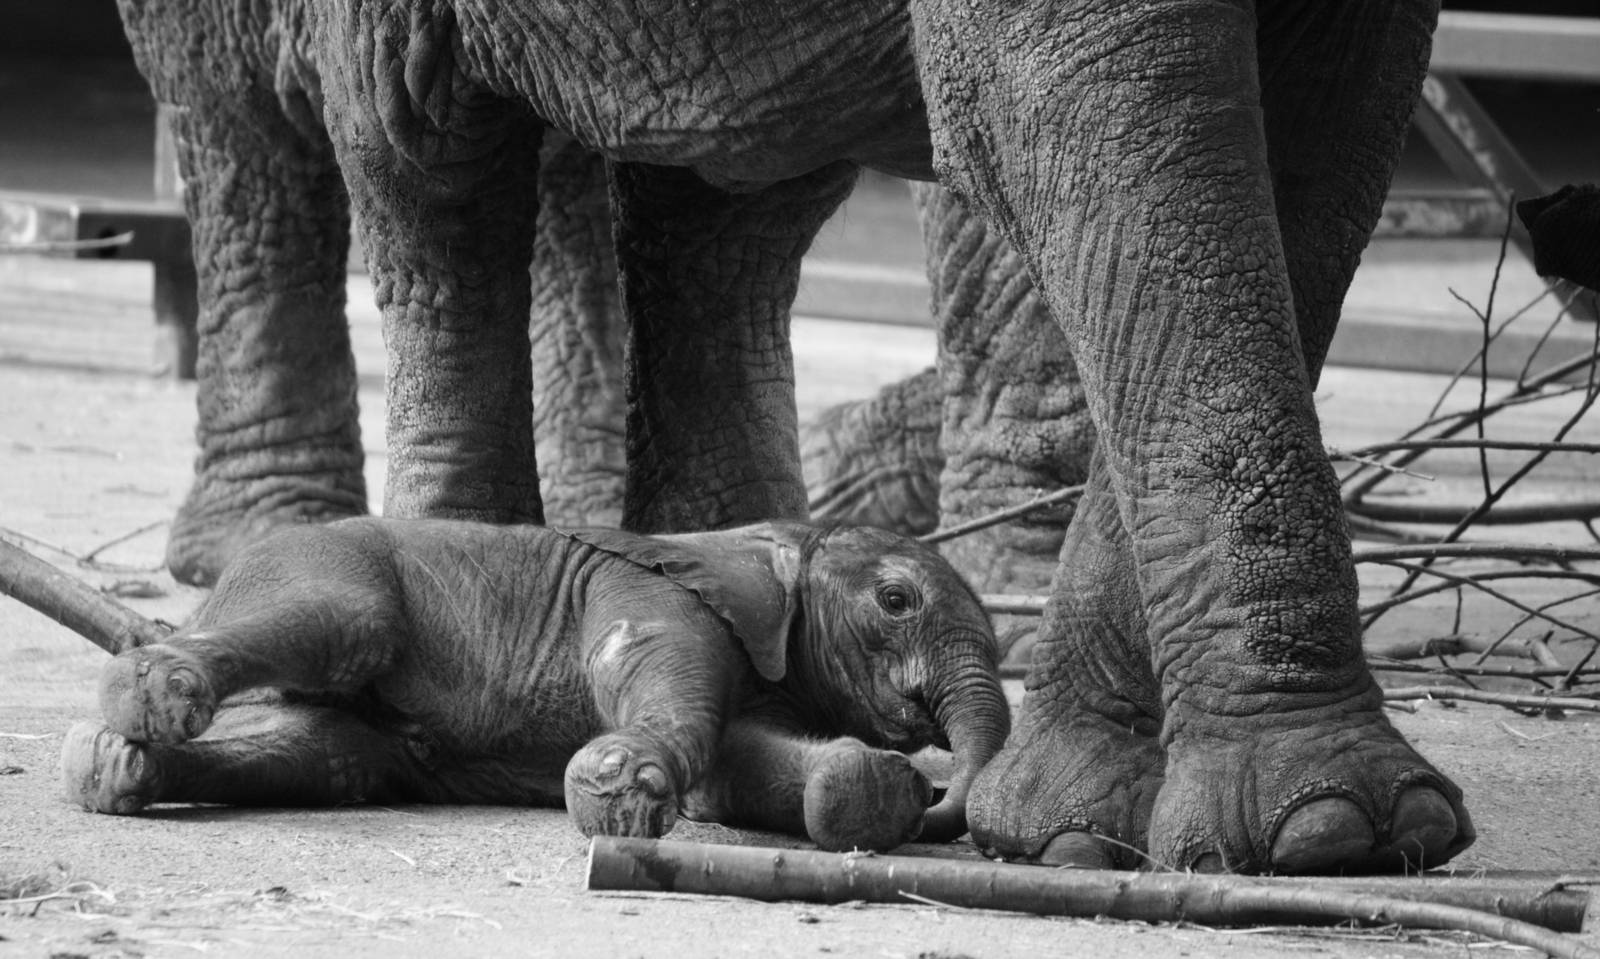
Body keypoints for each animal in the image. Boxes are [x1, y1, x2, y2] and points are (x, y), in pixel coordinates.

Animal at [61, 517, 1009, 852]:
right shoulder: (658, 595)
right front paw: (618, 791)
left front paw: (873, 791)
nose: (938, 793)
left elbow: (733, 770)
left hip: (351, 737)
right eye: (895, 600)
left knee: (320, 755)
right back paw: (148, 699)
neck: (788, 540)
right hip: (319, 563)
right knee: (344, 621)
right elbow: (677, 702)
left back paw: (108, 764)